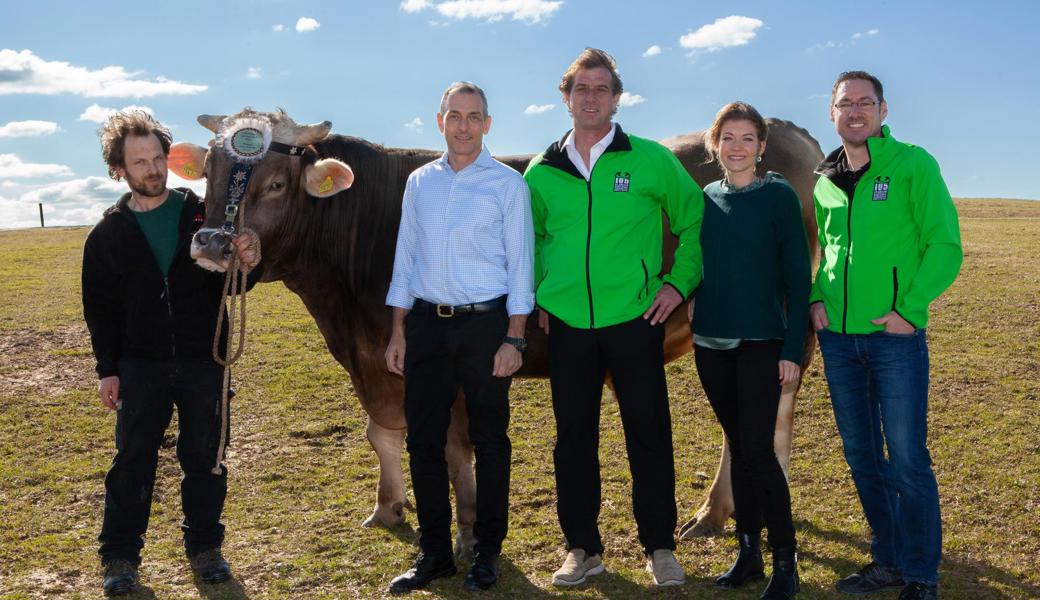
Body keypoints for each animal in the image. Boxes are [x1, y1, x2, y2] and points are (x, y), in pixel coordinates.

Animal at [168, 108, 819, 553]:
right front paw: (388, 508)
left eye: (277, 183)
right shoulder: (374, 358)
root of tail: (787, 131)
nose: (212, 243)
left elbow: (457, 450)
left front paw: (468, 530)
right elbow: (382, 434)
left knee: (772, 411)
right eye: (210, 174)